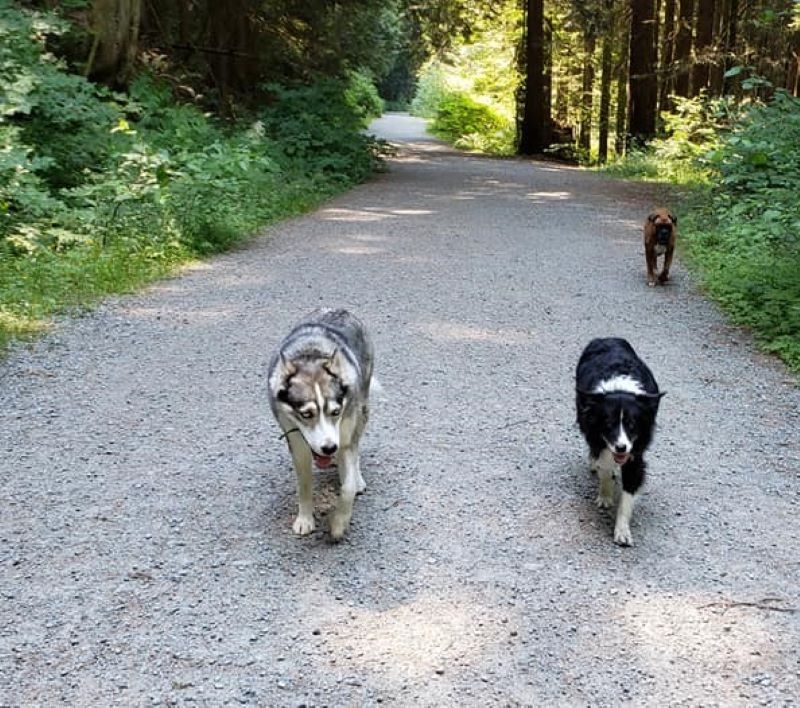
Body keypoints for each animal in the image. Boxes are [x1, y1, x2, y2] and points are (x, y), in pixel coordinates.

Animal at [266, 306, 372, 540]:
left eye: (336, 412)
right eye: (306, 414)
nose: (329, 447)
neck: (311, 356)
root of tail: (338, 309)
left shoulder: (345, 432)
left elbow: (348, 487)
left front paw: (339, 522)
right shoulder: (297, 443)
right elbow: (304, 485)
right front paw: (305, 519)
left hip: (361, 411)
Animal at [576, 338, 664, 548]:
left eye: (632, 425)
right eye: (608, 424)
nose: (621, 447)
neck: (620, 390)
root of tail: (607, 338)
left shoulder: (636, 453)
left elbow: (627, 497)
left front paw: (622, 531)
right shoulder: (598, 437)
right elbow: (604, 468)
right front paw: (605, 496)